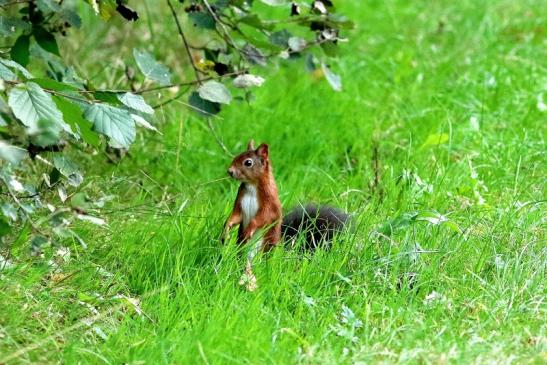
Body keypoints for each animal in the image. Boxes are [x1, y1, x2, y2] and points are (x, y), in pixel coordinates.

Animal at [224, 141, 348, 288]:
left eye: (248, 162)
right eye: (237, 156)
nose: (230, 171)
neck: (251, 186)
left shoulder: (270, 202)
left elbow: (264, 217)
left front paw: (250, 228)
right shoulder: (240, 200)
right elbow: (236, 216)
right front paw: (226, 228)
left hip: (266, 245)